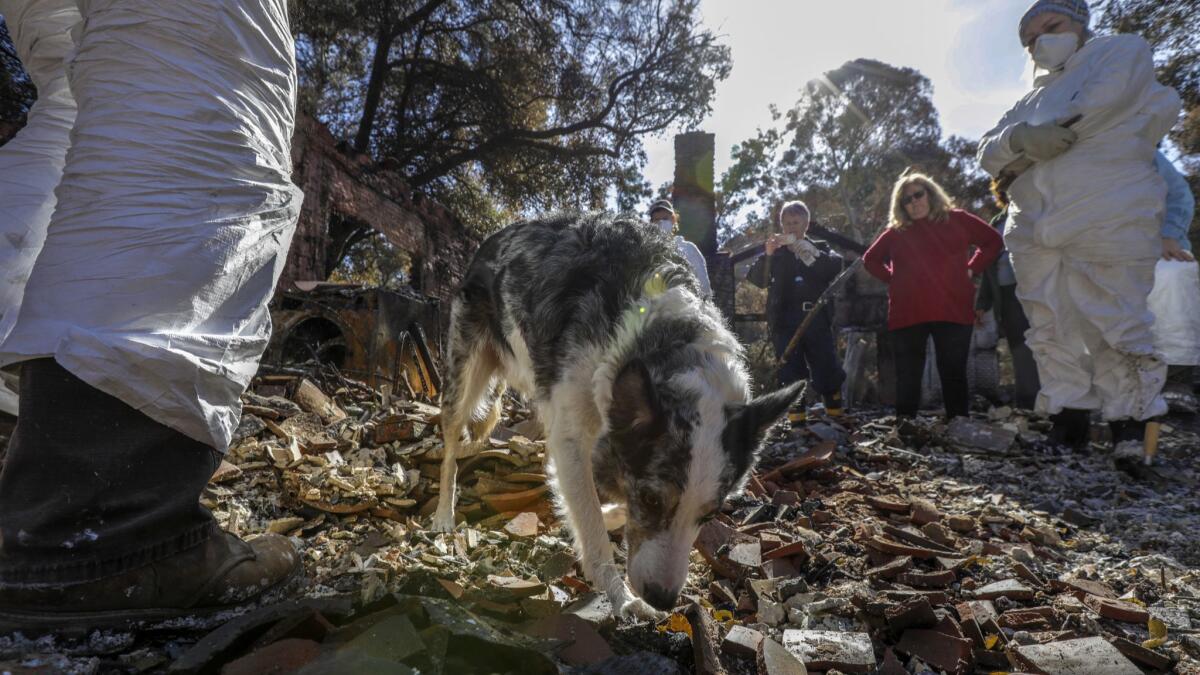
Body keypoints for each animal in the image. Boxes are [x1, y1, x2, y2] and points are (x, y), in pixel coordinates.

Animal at [432, 211, 796, 614]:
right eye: (652, 499)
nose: (663, 600)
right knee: (449, 450)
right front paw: (620, 596)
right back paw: (443, 516)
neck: (664, 337)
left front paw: (604, 515)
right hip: (463, 377)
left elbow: (594, 502)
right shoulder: (574, 435)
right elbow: (590, 524)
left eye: (710, 514)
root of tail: (493, 239)